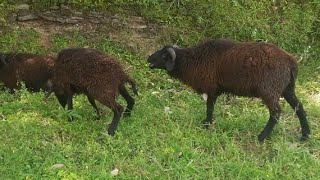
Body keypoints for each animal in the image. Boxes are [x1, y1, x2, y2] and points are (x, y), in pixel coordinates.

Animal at [149, 38, 312, 141]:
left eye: (163, 55)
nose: (148, 58)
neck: (192, 60)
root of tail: (291, 62)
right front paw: (208, 123)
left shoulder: (211, 88)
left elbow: (209, 107)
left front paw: (207, 124)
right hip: (287, 88)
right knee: (299, 107)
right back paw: (305, 136)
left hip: (269, 90)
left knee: (276, 113)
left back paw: (262, 137)